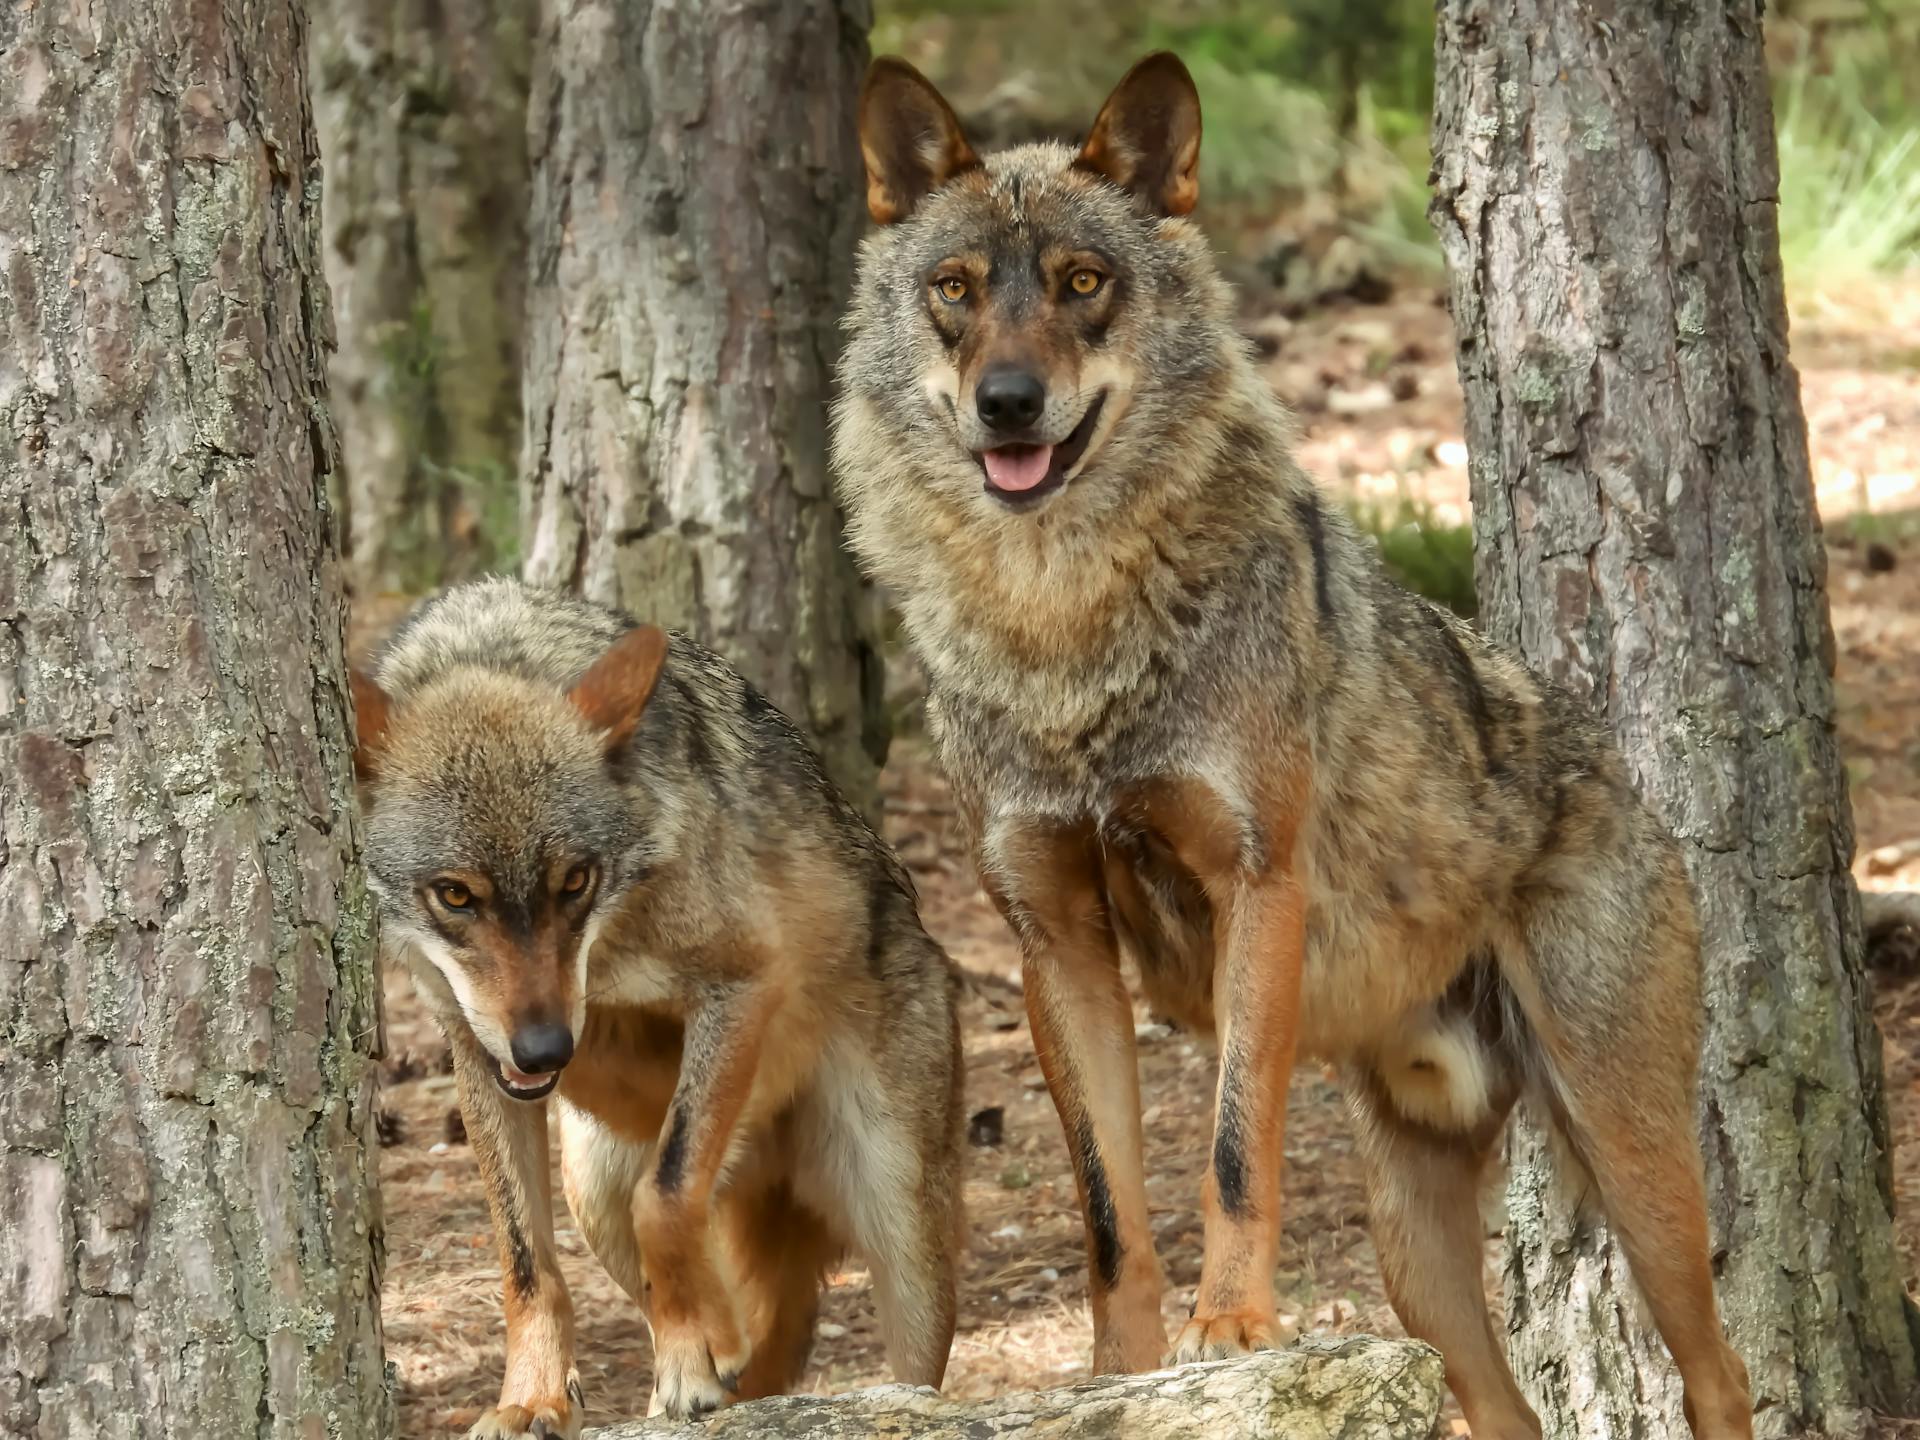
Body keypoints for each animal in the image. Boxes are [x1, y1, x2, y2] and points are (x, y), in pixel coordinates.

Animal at [351, 579, 960, 1436]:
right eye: (455, 896)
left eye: (575, 881)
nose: (545, 1050)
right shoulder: (474, 1052)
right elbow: (526, 1261)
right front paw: (531, 1397)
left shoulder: (742, 982)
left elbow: (667, 1197)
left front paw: (689, 1365)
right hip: (592, 1187)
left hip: (901, 1236)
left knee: (911, 1376)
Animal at [825, 50, 1758, 1436]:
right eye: (955, 291)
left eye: (1082, 284)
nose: (1008, 407)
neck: (1066, 631)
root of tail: (1621, 777)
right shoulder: (1055, 944)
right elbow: (1107, 1205)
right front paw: (1124, 1374)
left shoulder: (1254, 890)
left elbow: (1229, 1153)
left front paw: (1233, 1327)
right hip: (1416, 1260)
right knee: (1509, 1408)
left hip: (1634, 1169)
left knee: (1721, 1371)